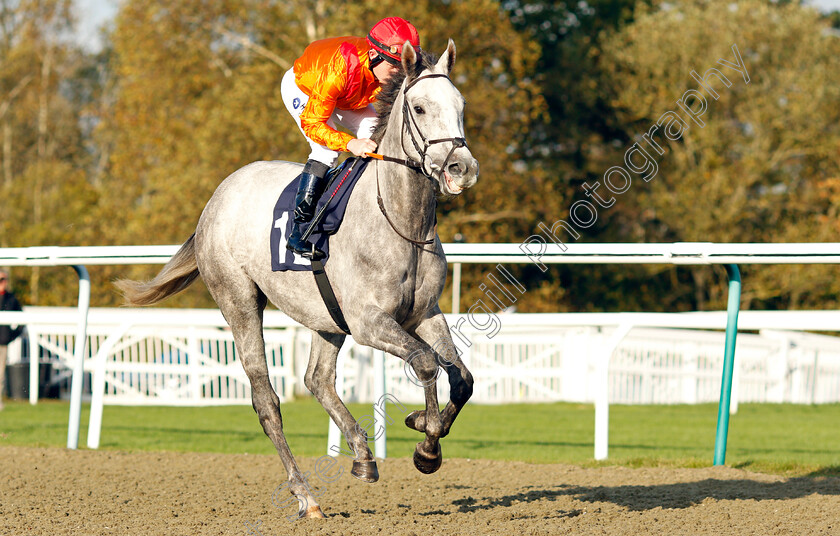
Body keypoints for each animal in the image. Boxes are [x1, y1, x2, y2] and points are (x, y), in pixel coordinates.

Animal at [116, 39, 480, 516]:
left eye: (460, 105)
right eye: (419, 108)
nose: (462, 168)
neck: (401, 220)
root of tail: (216, 199)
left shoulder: (426, 313)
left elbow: (462, 378)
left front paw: (422, 428)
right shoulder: (369, 323)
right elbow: (425, 362)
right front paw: (427, 445)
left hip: (326, 317)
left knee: (317, 380)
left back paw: (363, 456)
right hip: (239, 300)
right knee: (266, 399)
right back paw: (305, 494)